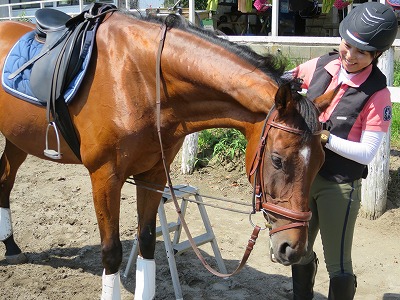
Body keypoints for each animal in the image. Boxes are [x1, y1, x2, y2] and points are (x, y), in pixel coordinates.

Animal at [0, 10, 334, 298]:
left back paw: (12, 248)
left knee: (5, 181)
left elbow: (147, 241)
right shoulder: (105, 177)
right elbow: (112, 253)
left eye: (320, 163)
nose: (293, 248)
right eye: (277, 160)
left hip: (17, 139)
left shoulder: (154, 174)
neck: (141, 79)